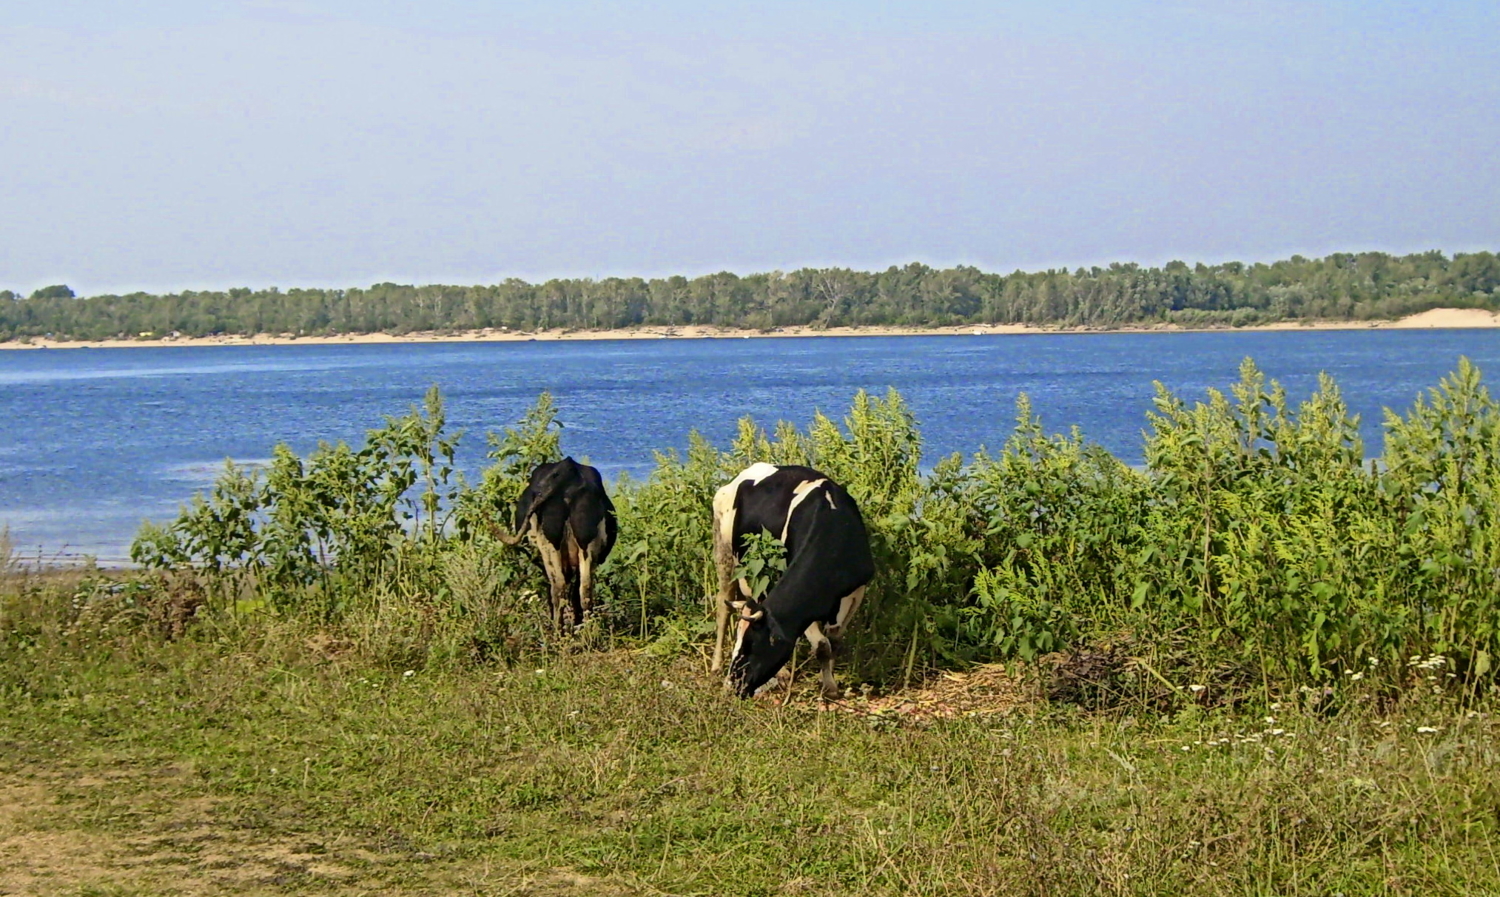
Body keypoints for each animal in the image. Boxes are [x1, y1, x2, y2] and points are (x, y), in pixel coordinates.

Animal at [495, 462, 618, 630]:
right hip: (587, 544)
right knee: (584, 588)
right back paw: (587, 629)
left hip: (550, 544)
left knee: (559, 587)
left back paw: (559, 631)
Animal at [708, 465, 876, 702]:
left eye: (750, 646)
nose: (731, 686)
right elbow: (822, 645)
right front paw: (829, 687)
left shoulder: (856, 591)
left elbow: (833, 641)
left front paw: (830, 681)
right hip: (723, 550)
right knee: (724, 606)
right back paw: (717, 666)